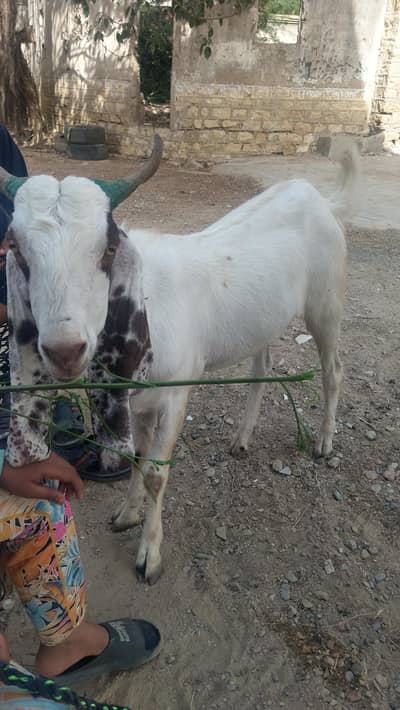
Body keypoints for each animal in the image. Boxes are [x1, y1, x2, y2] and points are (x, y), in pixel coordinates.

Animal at [0, 136, 358, 584]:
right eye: (16, 247)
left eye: (109, 248)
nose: (65, 350)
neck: (150, 299)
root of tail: (319, 199)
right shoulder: (136, 399)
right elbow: (138, 457)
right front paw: (127, 514)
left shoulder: (176, 393)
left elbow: (156, 472)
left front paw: (149, 556)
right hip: (263, 318)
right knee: (261, 367)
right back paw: (242, 438)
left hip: (326, 304)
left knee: (334, 370)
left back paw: (324, 442)